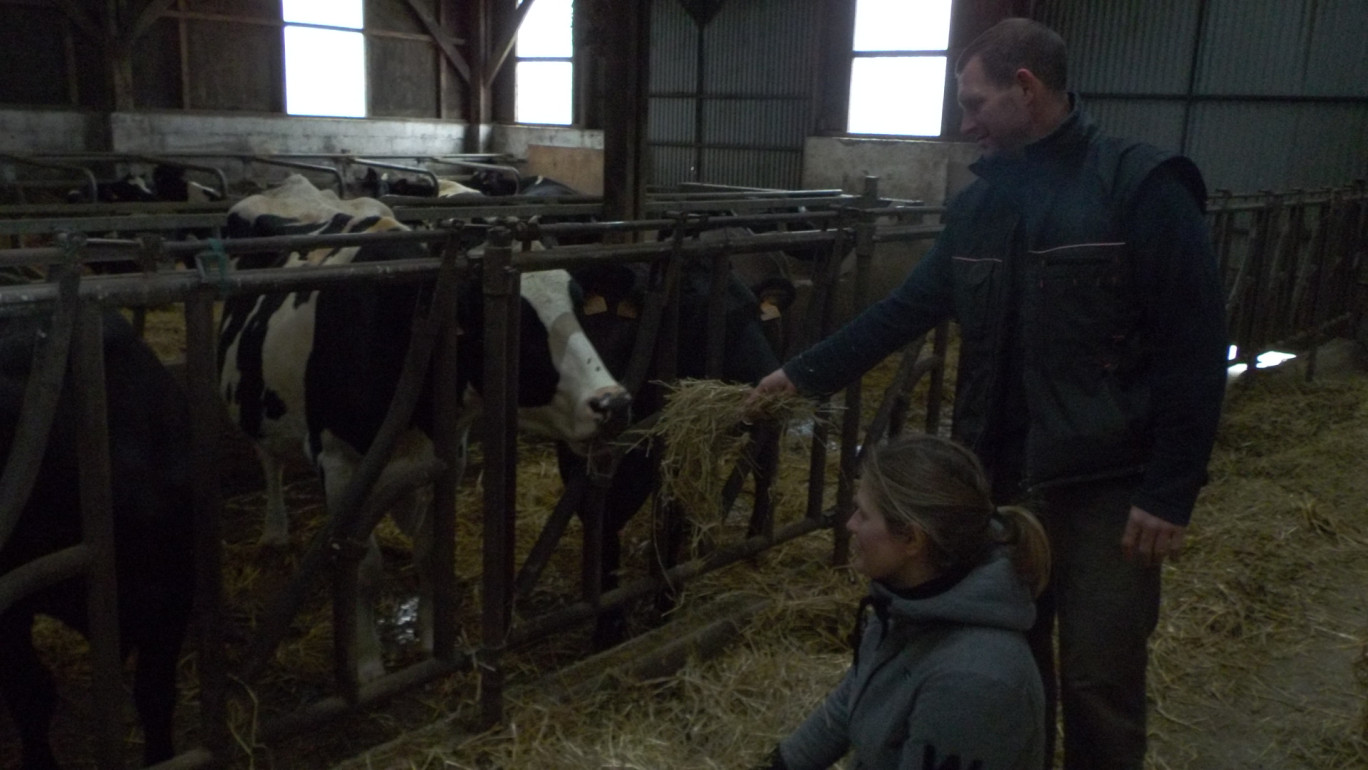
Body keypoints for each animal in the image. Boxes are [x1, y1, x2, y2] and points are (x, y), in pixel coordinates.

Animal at [220, 173, 634, 681]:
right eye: (514, 318)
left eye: (578, 304)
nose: (613, 403)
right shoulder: (338, 462)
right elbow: (364, 567)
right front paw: (367, 664)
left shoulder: (448, 453)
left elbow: (432, 549)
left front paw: (434, 639)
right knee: (269, 458)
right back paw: (276, 530)